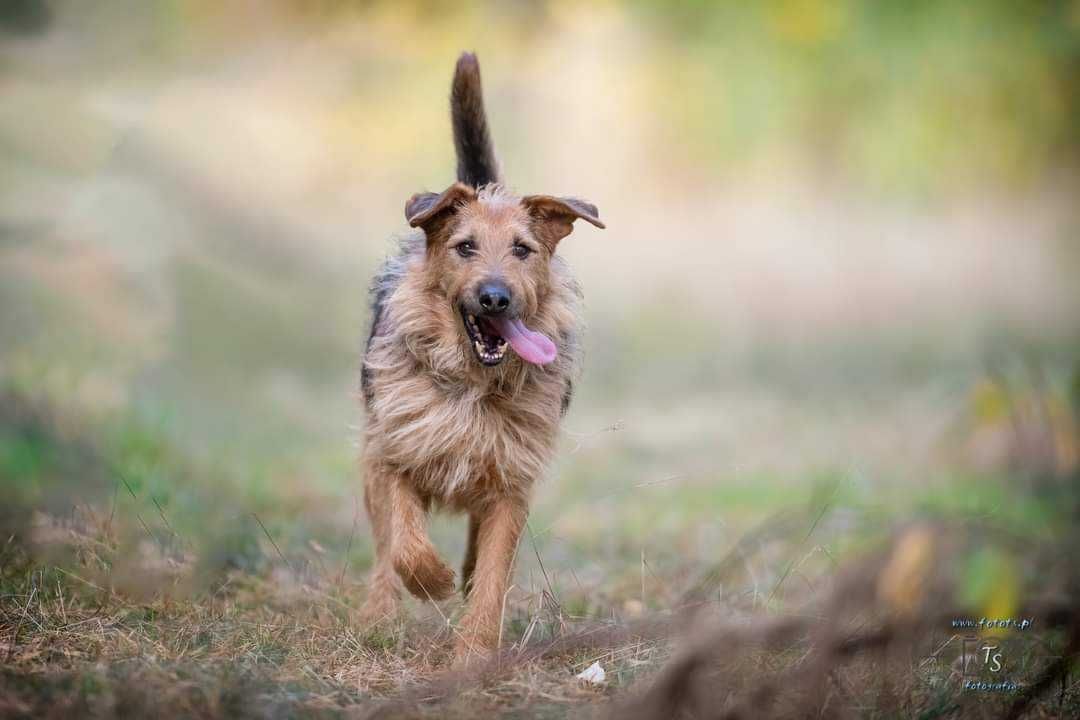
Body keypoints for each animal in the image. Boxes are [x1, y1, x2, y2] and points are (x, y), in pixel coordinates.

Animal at [358, 52, 604, 664]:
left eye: (523, 249)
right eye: (464, 246)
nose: (495, 297)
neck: (471, 383)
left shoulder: (512, 480)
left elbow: (495, 568)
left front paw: (472, 653)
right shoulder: (394, 452)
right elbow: (404, 539)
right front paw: (432, 582)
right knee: (383, 549)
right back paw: (379, 613)